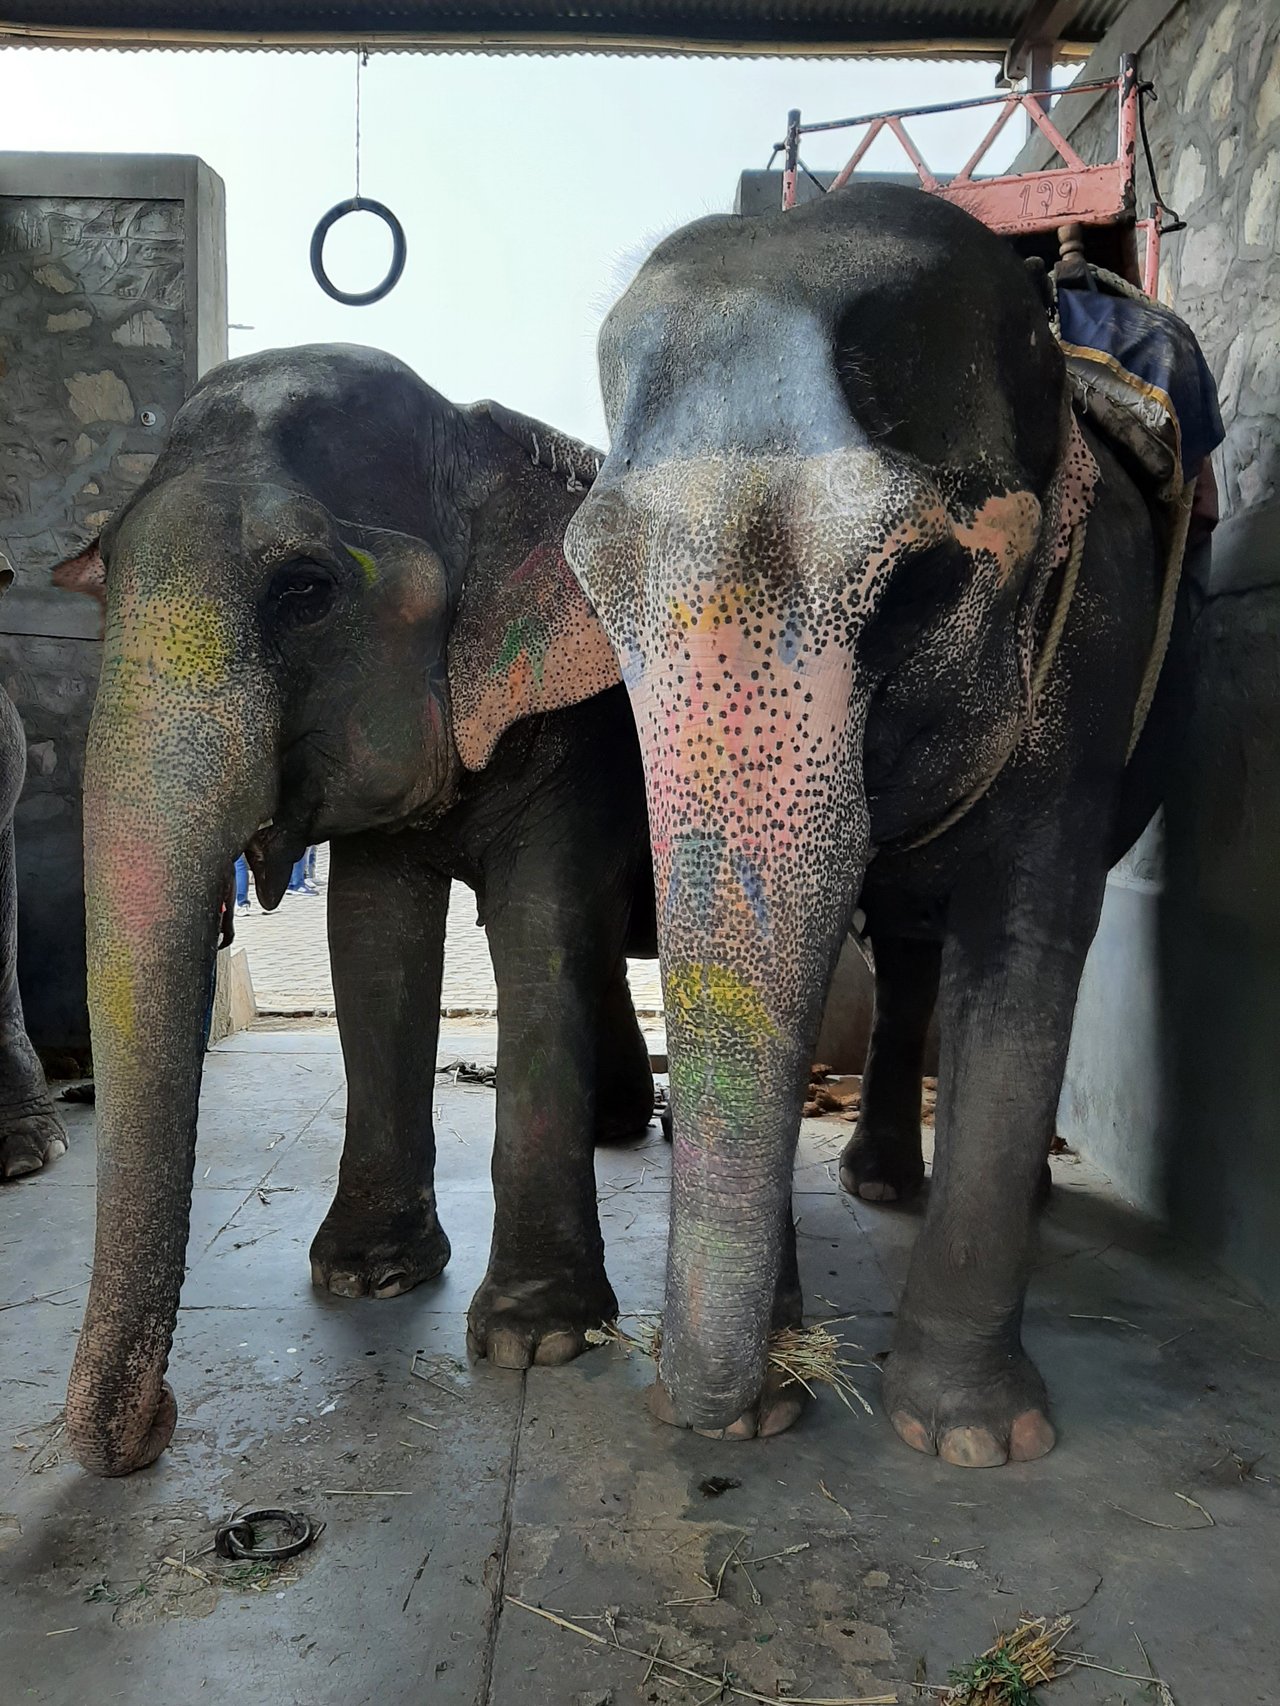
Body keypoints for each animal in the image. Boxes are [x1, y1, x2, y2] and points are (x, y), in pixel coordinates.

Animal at [52, 344, 660, 1477]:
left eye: (304, 591)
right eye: (103, 580)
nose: (156, 1427)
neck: (473, 437)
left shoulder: (575, 723)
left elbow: (541, 924)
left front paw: (538, 1338)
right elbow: (373, 941)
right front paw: (365, 1277)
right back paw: (618, 1129)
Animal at [565, 181, 1191, 1467]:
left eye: (916, 589)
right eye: (593, 597)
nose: (689, 1408)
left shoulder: (1088, 643)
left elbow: (1026, 949)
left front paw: (975, 1440)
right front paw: (774, 1402)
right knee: (901, 958)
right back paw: (881, 1183)